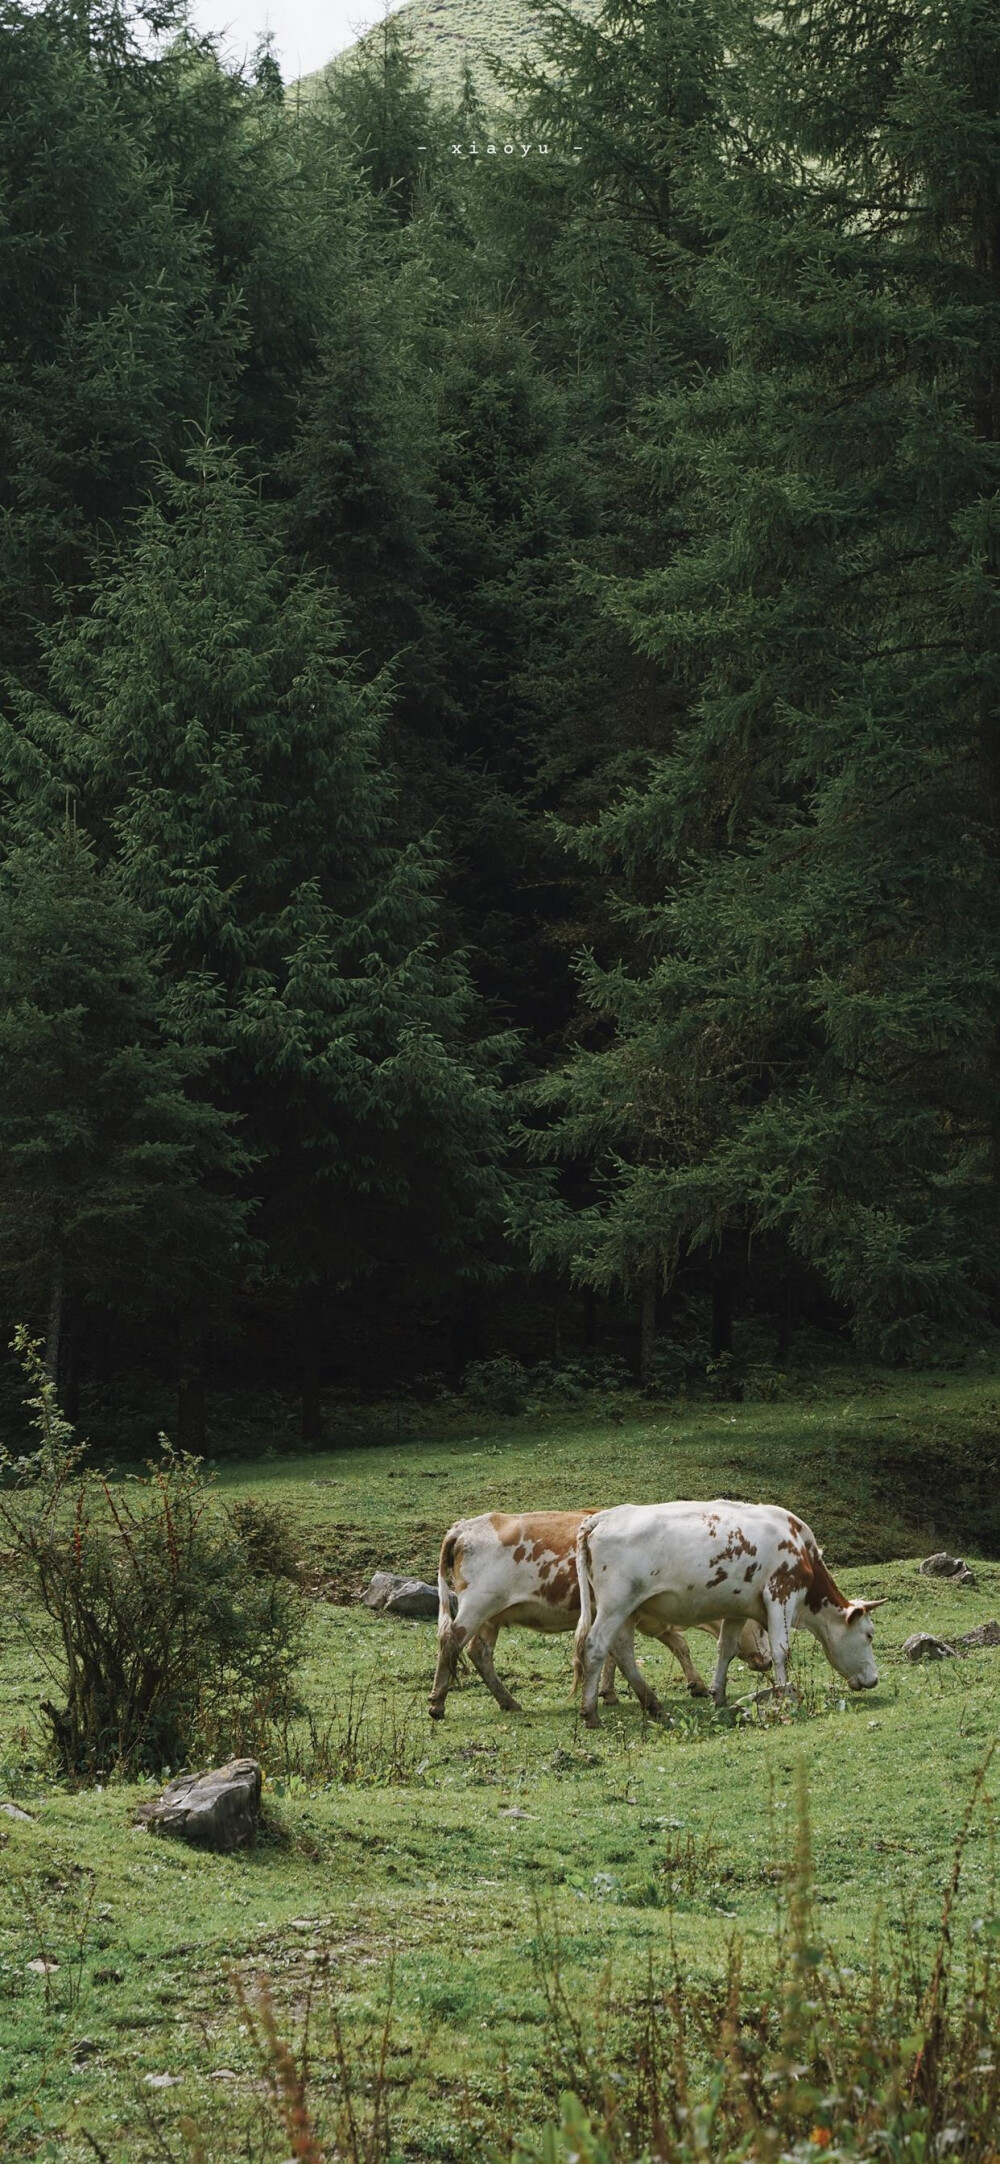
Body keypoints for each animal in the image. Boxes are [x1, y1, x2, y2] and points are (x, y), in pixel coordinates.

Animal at [426, 1506, 770, 1722]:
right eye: (762, 1628)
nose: (766, 1661)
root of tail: (465, 1526)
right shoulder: (644, 1616)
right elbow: (670, 1645)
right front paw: (694, 1685)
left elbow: (618, 1655)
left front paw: (608, 1692)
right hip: (477, 1605)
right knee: (451, 1641)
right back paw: (438, 1702)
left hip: (491, 1616)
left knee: (479, 1653)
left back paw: (508, 1701)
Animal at [571, 1497, 883, 1731]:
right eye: (869, 1635)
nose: (874, 1679)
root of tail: (602, 1517)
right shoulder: (781, 1593)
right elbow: (781, 1649)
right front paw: (786, 1695)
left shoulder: (737, 1608)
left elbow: (726, 1648)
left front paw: (718, 1695)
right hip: (616, 1605)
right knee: (596, 1647)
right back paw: (591, 1713)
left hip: (628, 1610)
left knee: (622, 1652)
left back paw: (654, 1705)